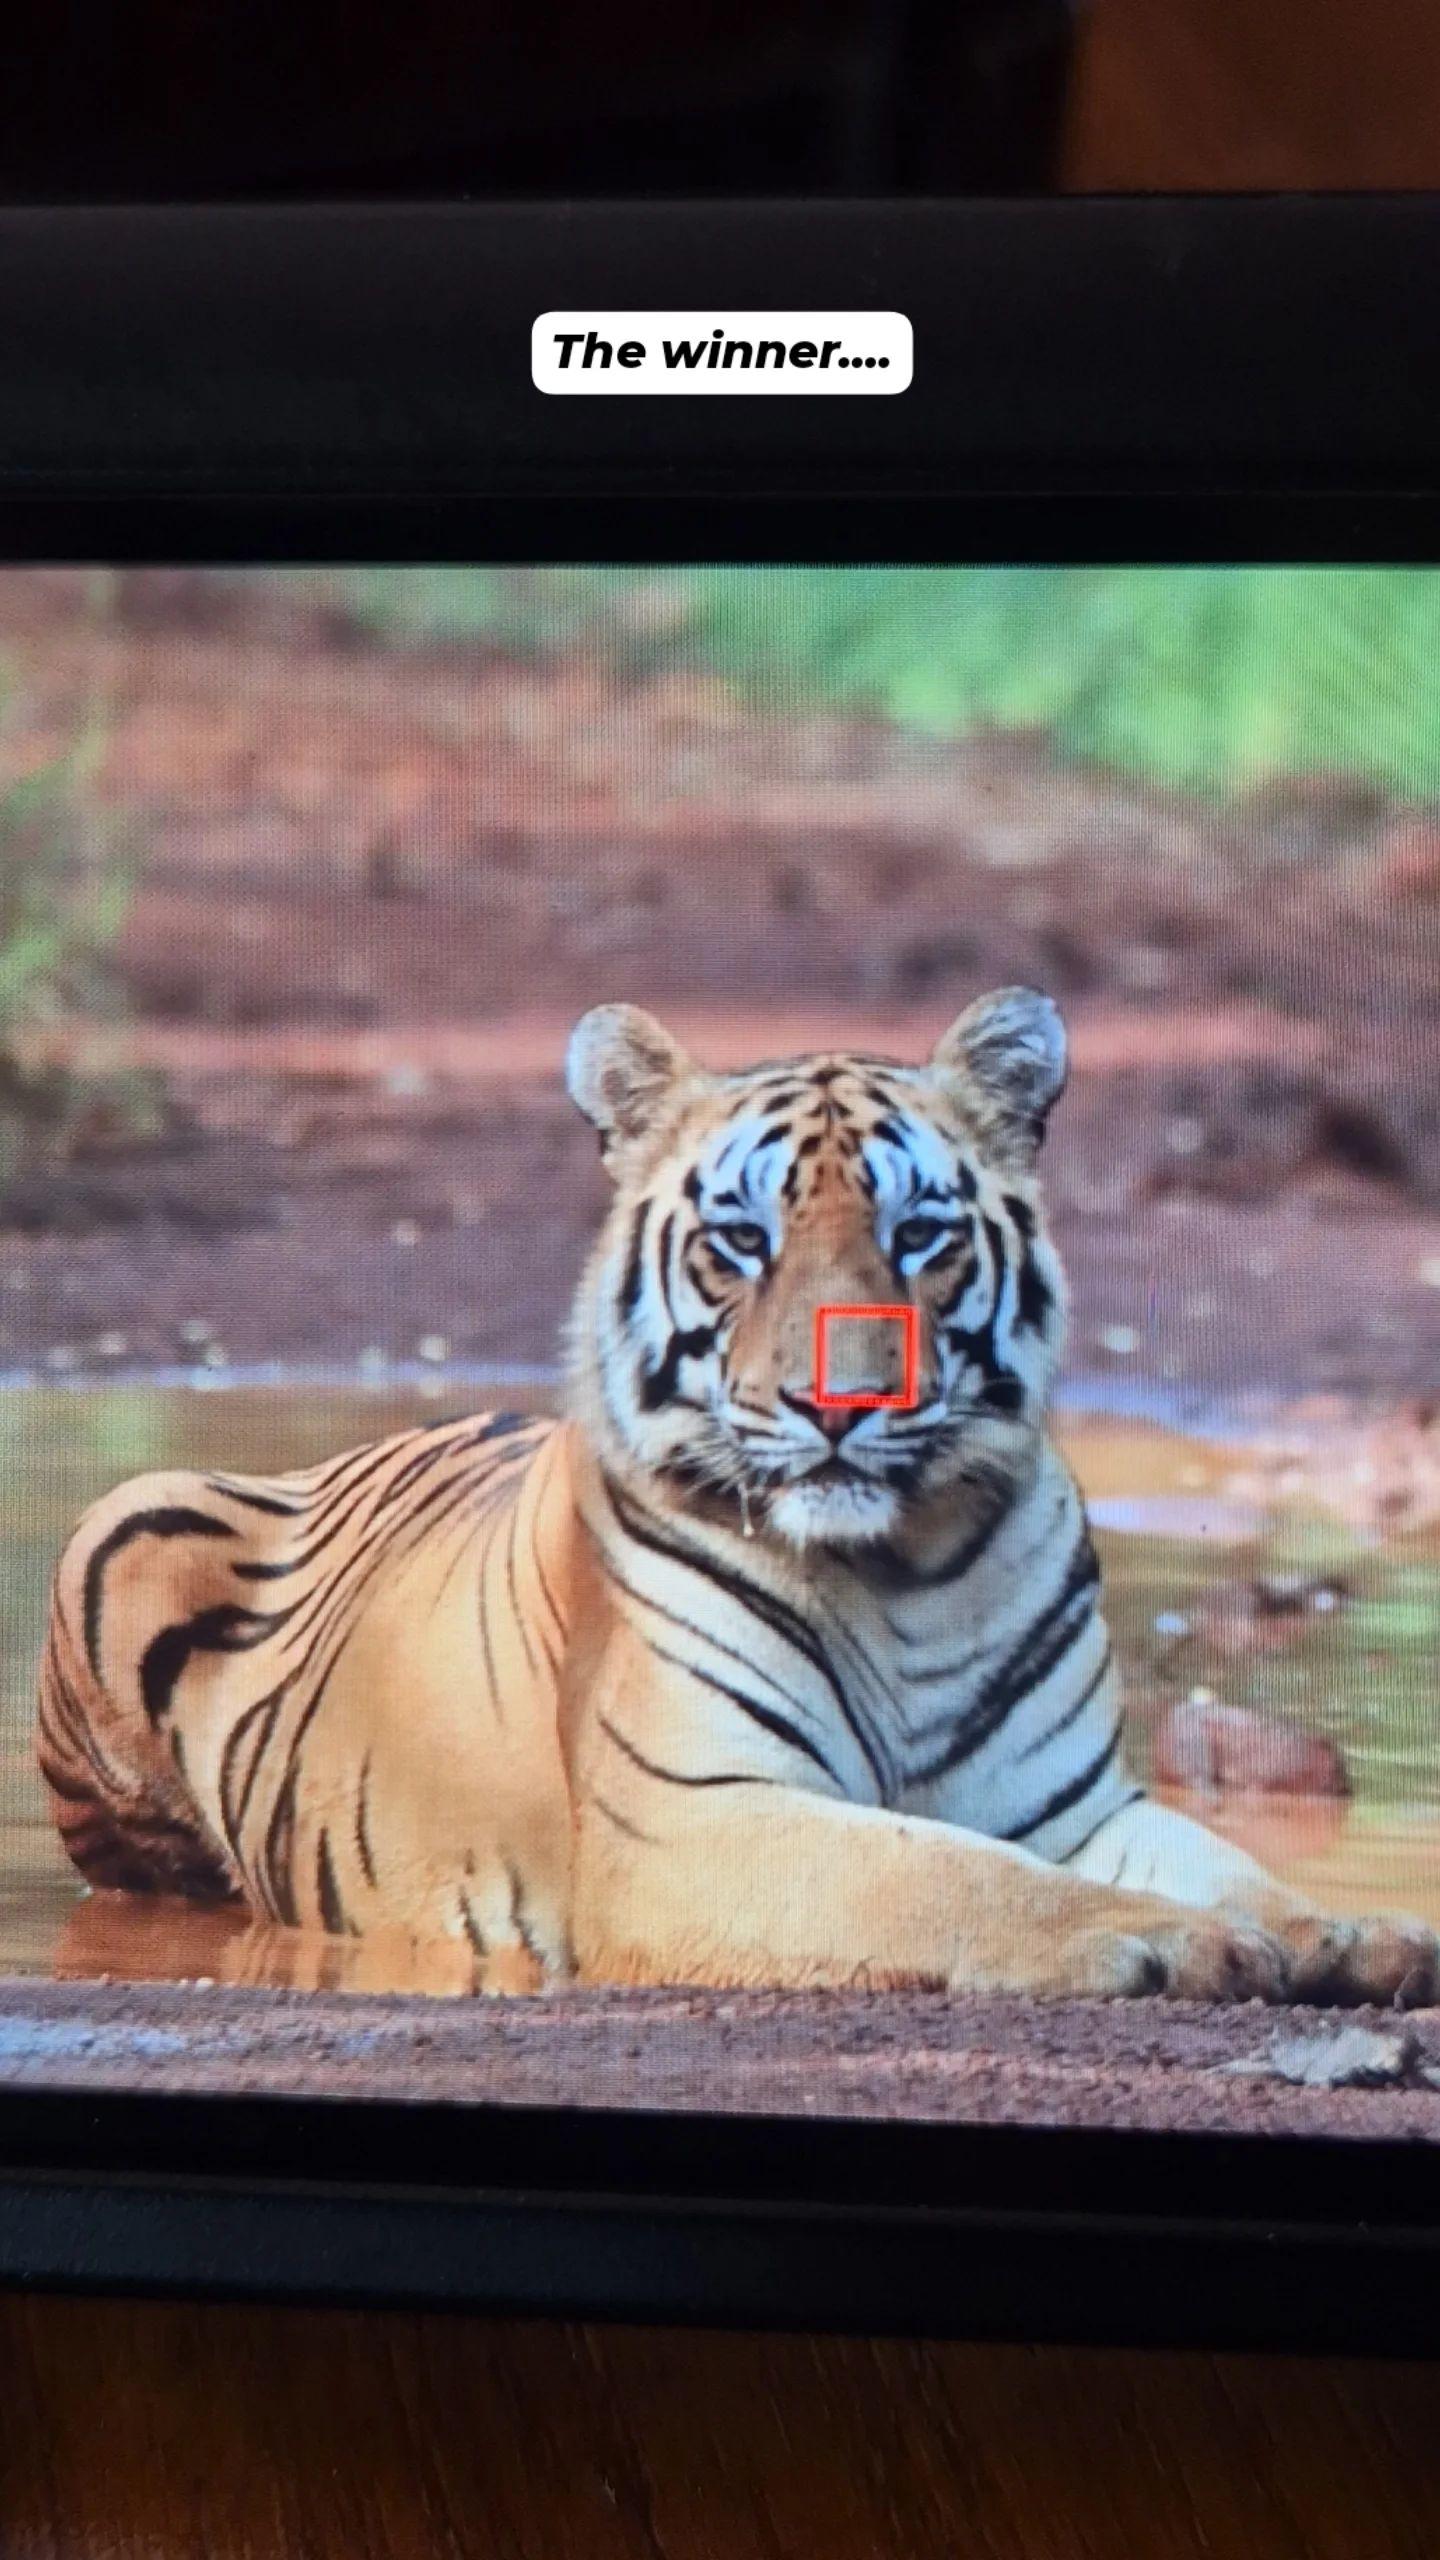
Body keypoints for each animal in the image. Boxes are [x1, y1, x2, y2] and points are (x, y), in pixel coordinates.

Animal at [36, 989, 1440, 2004]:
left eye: (920, 1235)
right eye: (743, 1241)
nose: (842, 1402)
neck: (901, 1574)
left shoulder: (1077, 1804)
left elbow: (1230, 1863)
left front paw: (1344, 1931)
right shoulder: (694, 1818)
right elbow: (945, 1873)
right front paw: (1163, 1940)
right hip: (120, 1532)